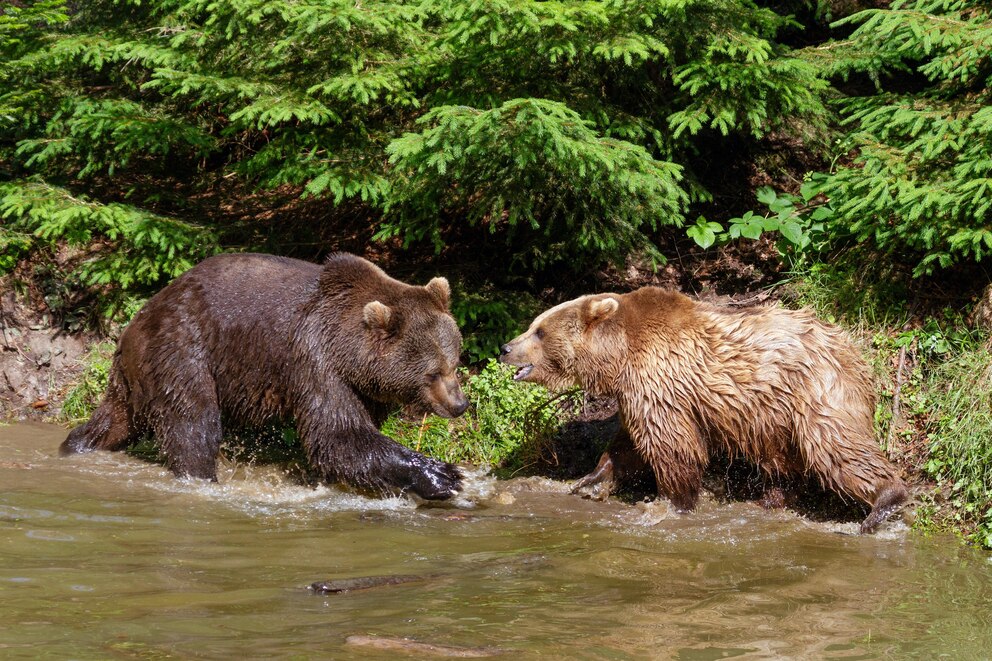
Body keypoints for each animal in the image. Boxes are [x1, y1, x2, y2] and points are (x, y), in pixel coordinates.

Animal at [60, 253, 466, 500]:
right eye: (433, 373)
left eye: (455, 362)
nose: (459, 404)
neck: (351, 351)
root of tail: (132, 325)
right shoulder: (314, 360)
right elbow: (337, 434)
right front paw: (442, 474)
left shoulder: (363, 387)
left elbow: (352, 438)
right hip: (183, 347)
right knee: (193, 420)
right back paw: (202, 477)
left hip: (138, 375)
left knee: (113, 420)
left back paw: (75, 446)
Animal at [500, 288, 912, 532]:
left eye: (539, 330)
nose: (505, 347)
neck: (617, 357)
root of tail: (852, 349)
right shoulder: (640, 392)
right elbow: (627, 445)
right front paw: (589, 480)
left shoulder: (660, 380)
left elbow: (670, 445)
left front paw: (672, 502)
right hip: (775, 418)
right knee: (786, 463)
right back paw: (770, 500)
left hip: (814, 392)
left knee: (835, 446)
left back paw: (886, 502)